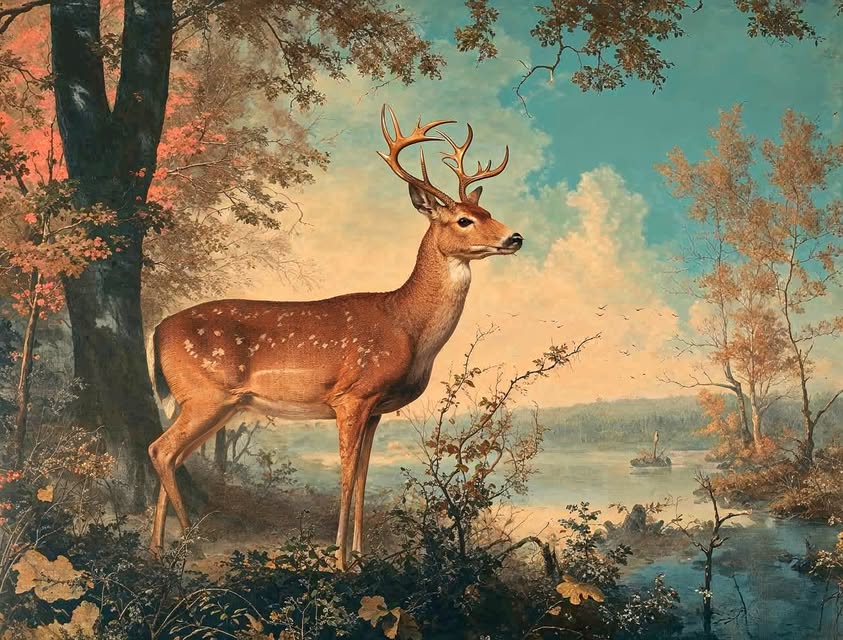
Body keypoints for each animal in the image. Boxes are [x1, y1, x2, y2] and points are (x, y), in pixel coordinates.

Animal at [147, 105, 523, 568]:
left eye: (487, 213)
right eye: (464, 220)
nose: (515, 237)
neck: (406, 325)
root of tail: (157, 329)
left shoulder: (377, 408)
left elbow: (362, 478)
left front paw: (360, 557)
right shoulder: (351, 395)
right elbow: (345, 477)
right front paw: (339, 560)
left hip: (213, 403)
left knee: (172, 454)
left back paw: (158, 549)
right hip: (205, 395)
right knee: (161, 450)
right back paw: (188, 542)